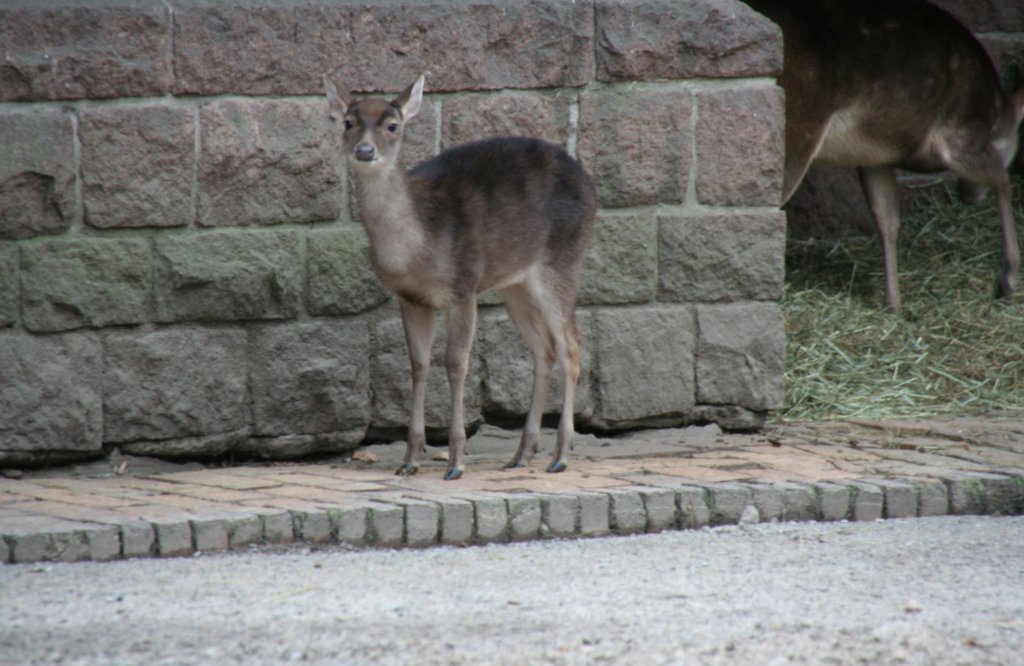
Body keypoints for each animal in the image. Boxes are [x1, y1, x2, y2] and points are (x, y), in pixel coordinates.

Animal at [323, 72, 598, 477]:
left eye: (392, 125)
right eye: (347, 123)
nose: (365, 150)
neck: (415, 249)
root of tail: (591, 185)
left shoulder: (463, 287)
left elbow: (455, 363)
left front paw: (455, 462)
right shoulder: (411, 299)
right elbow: (418, 365)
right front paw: (409, 460)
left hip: (562, 261)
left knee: (571, 344)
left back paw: (560, 455)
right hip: (515, 283)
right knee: (543, 347)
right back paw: (521, 454)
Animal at [745, 0, 1024, 313]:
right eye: (1013, 140)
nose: (966, 195)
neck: (994, 113)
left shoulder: (875, 158)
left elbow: (887, 218)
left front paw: (895, 305)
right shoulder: (957, 136)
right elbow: (1002, 178)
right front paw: (1008, 279)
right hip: (799, 124)